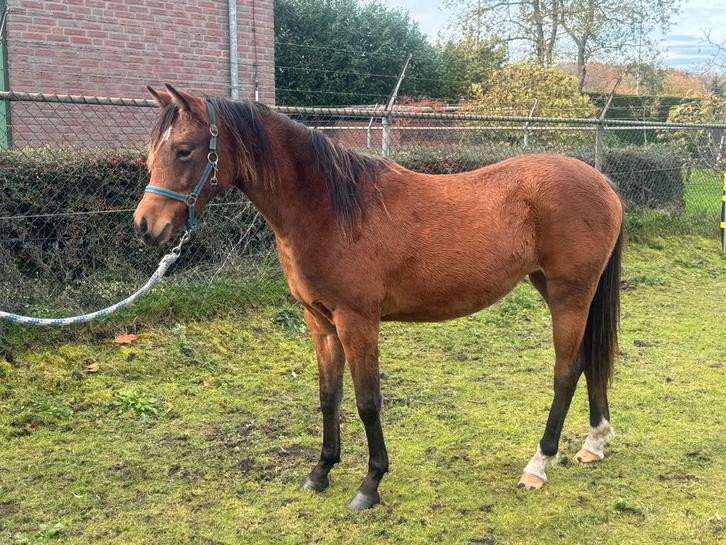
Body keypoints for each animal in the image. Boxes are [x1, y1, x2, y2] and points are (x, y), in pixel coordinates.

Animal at [134, 85, 623, 510]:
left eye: (184, 150)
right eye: (153, 152)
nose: (145, 226)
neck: (331, 209)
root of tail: (602, 182)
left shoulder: (357, 321)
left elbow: (368, 402)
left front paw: (370, 484)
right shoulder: (320, 322)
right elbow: (328, 396)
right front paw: (321, 472)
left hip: (569, 295)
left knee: (566, 371)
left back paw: (538, 464)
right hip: (561, 290)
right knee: (590, 360)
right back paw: (594, 443)